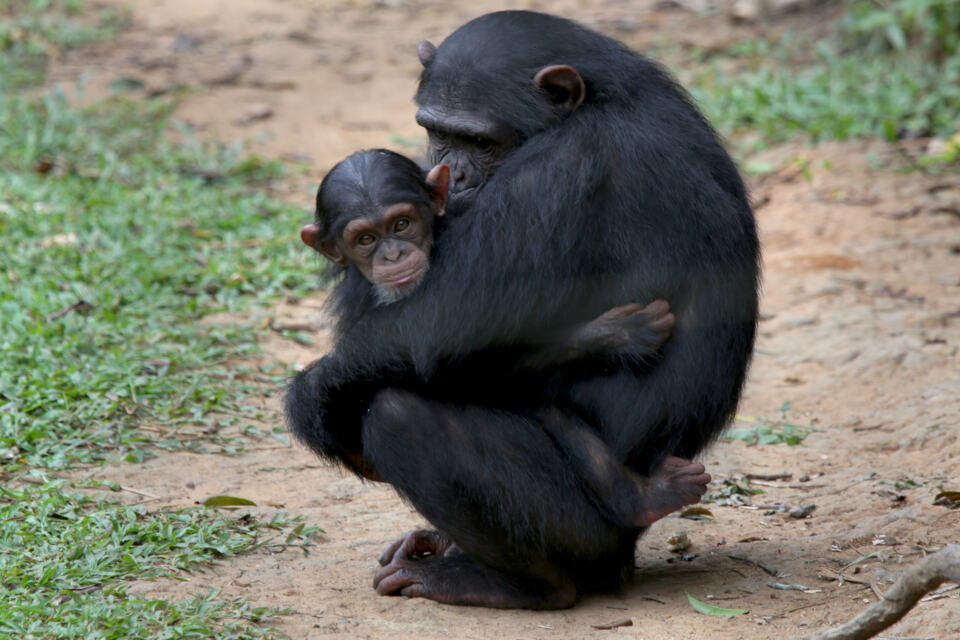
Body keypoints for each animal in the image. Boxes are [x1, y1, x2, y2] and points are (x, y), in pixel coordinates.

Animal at [284, 11, 756, 608]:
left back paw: (514, 582)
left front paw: (311, 400)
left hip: (586, 536)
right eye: (437, 132)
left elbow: (443, 331)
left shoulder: (561, 165)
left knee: (400, 414)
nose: (451, 174)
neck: (603, 100)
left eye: (478, 141)